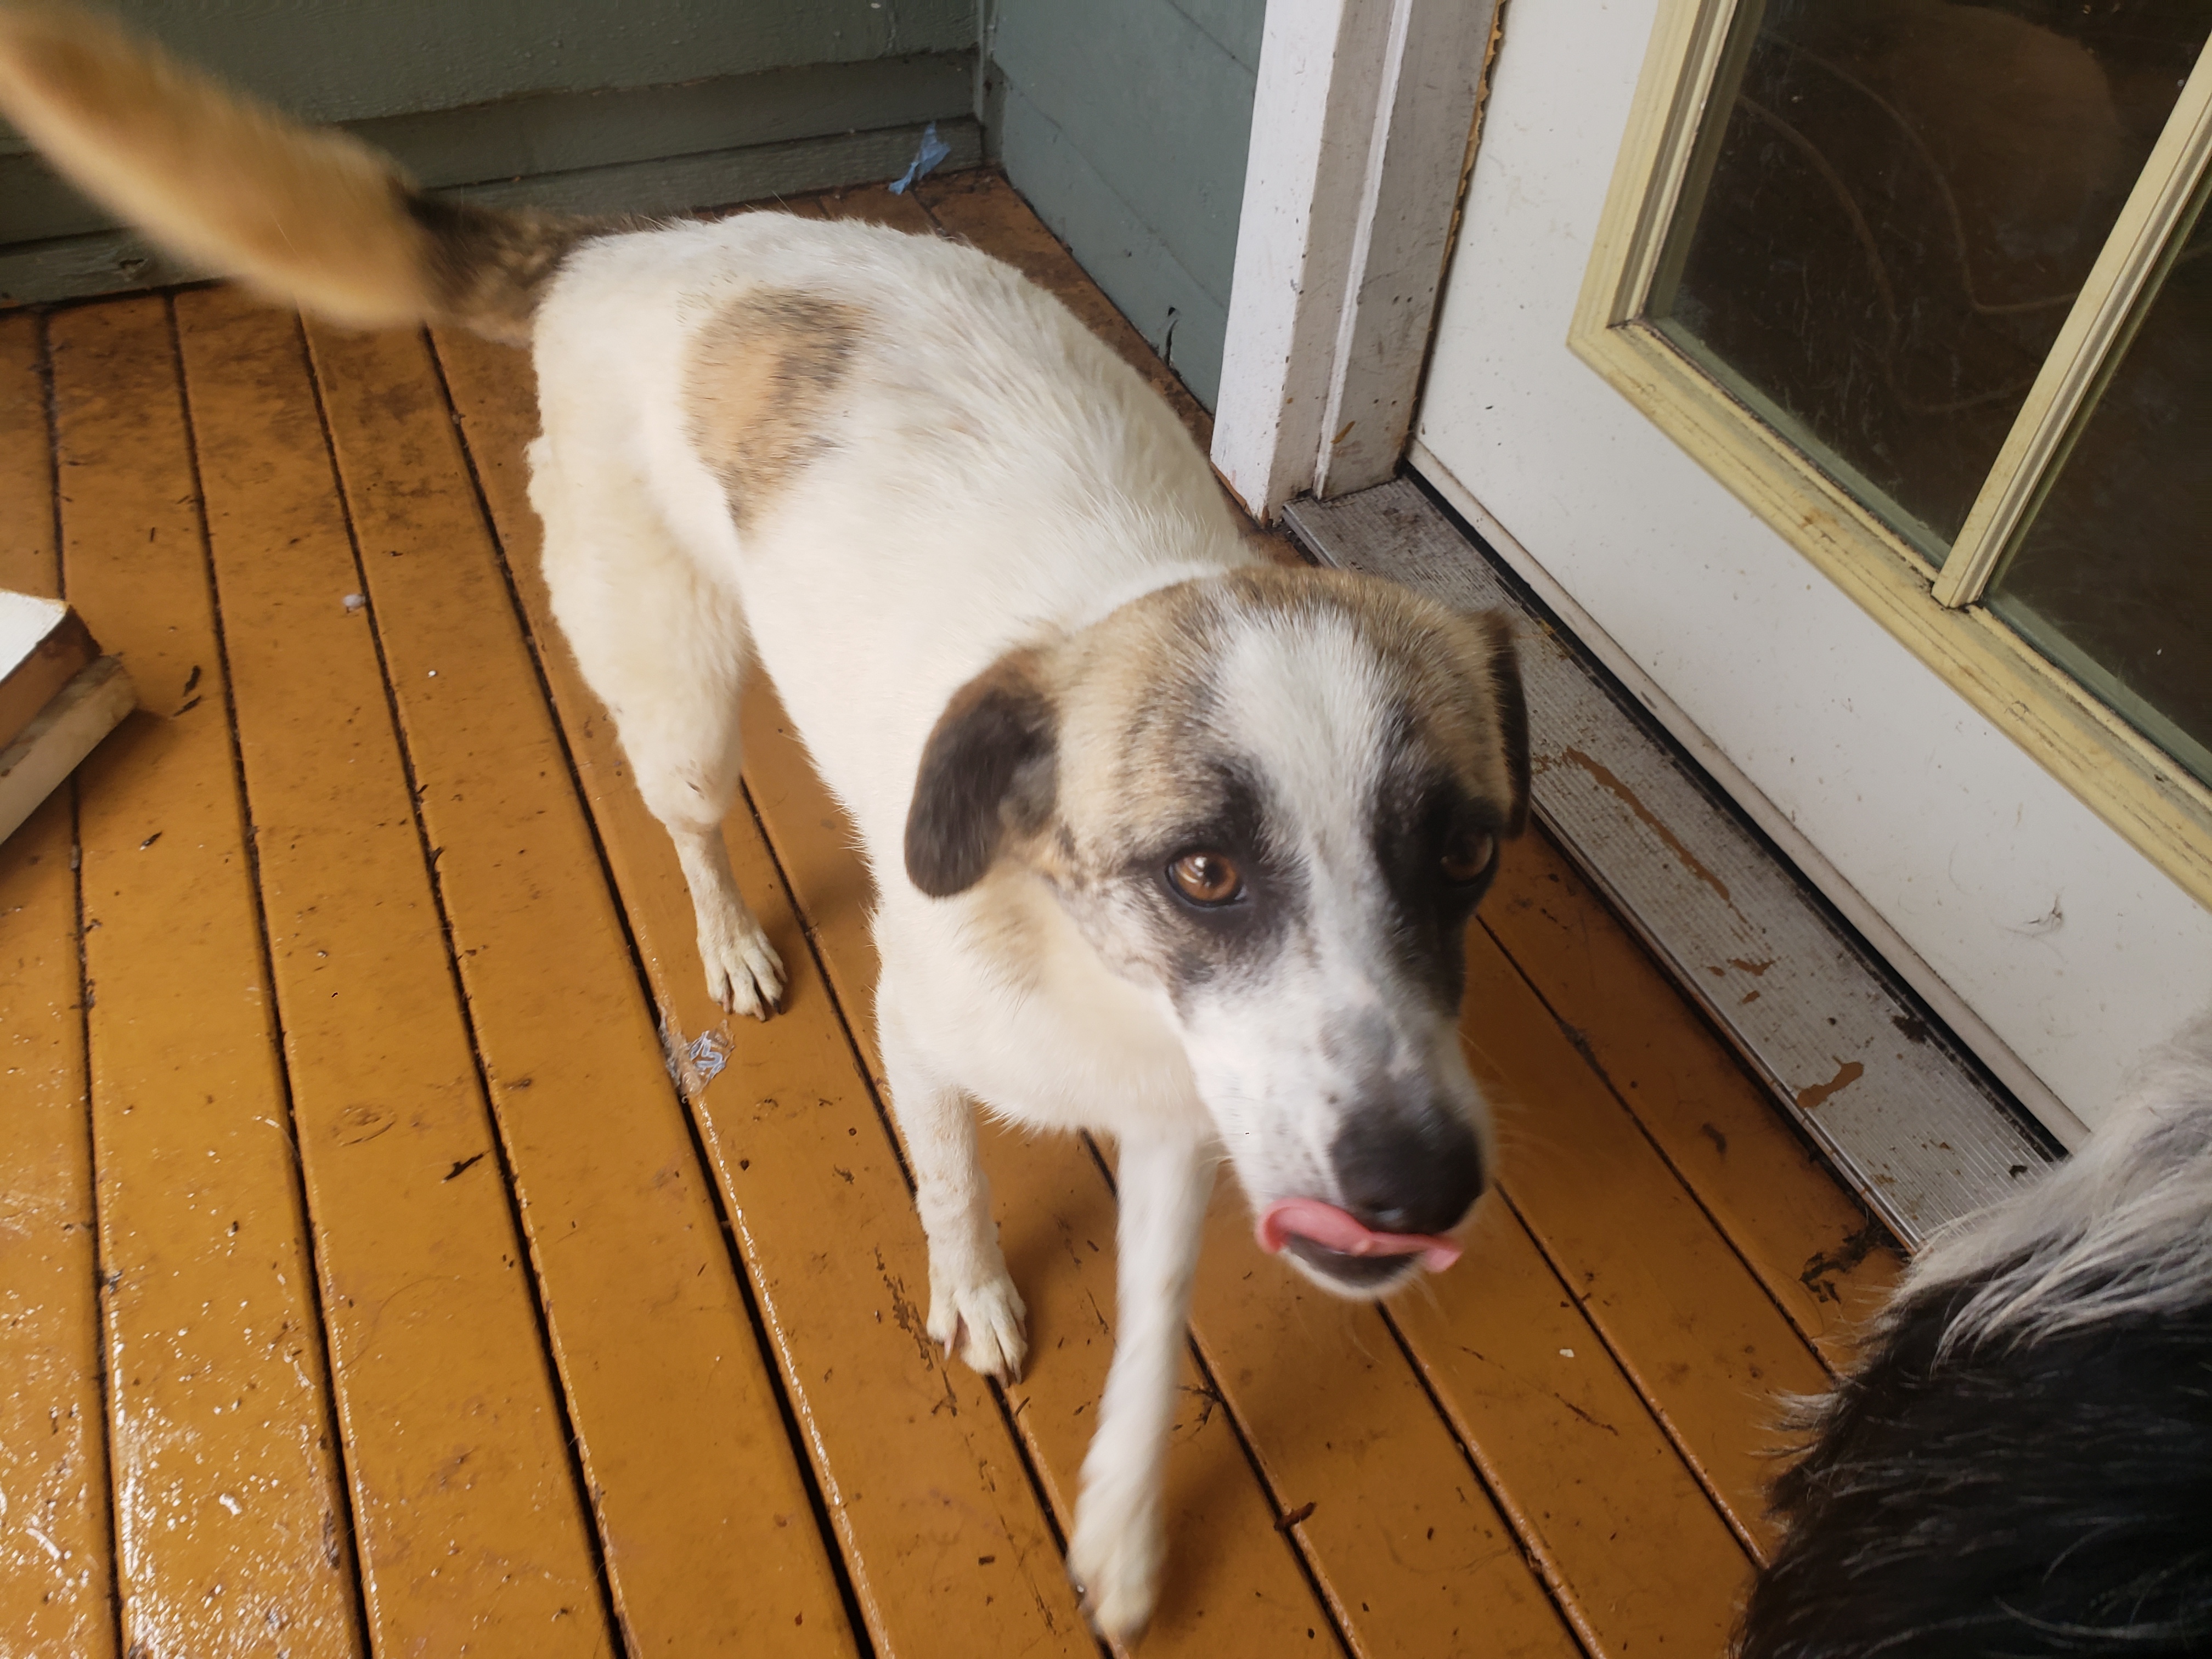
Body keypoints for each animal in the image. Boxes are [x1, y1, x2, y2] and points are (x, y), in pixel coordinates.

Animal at [0, 9, 1522, 1637]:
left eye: (1465, 854)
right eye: (1208, 870)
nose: (1425, 1188)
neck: (1092, 973)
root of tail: (620, 248)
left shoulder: (1189, 1114)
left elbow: (1156, 1321)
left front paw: (1119, 1524)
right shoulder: (923, 1032)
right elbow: (955, 1184)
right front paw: (974, 1293)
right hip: (681, 703)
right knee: (689, 827)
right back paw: (728, 939)